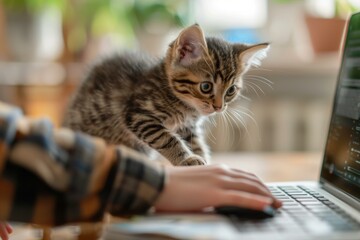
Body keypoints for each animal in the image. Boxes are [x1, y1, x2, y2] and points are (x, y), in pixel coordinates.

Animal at [63, 24, 268, 166]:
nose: (218, 107)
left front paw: (204, 162)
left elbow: (196, 142)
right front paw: (187, 160)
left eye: (231, 91)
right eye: (206, 87)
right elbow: (167, 138)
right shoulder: (139, 114)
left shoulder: (188, 127)